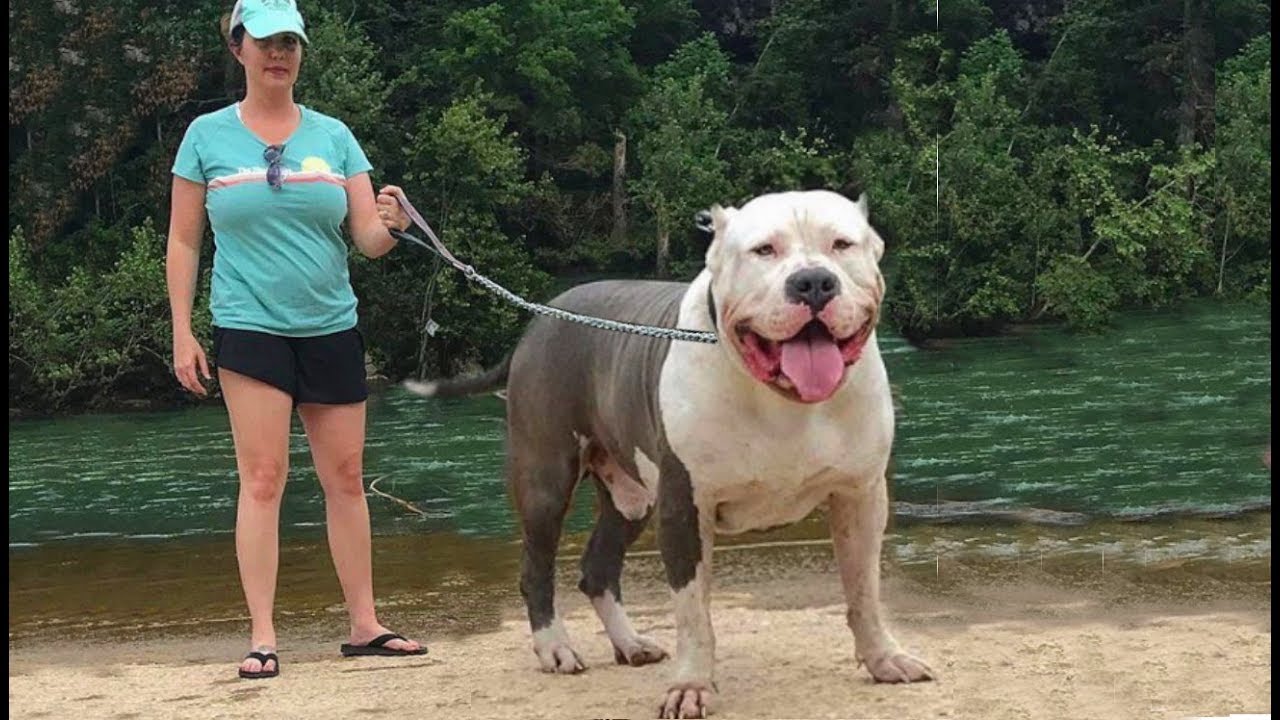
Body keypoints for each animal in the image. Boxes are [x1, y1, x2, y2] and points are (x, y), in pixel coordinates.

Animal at [409, 189, 931, 712]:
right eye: (763, 250)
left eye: (842, 244)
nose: (814, 282)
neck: (783, 399)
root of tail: (544, 315)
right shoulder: (684, 505)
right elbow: (693, 613)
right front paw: (691, 686)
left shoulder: (861, 497)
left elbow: (864, 590)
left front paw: (885, 658)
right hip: (545, 478)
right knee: (536, 568)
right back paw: (555, 647)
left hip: (633, 496)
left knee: (598, 568)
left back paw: (630, 644)